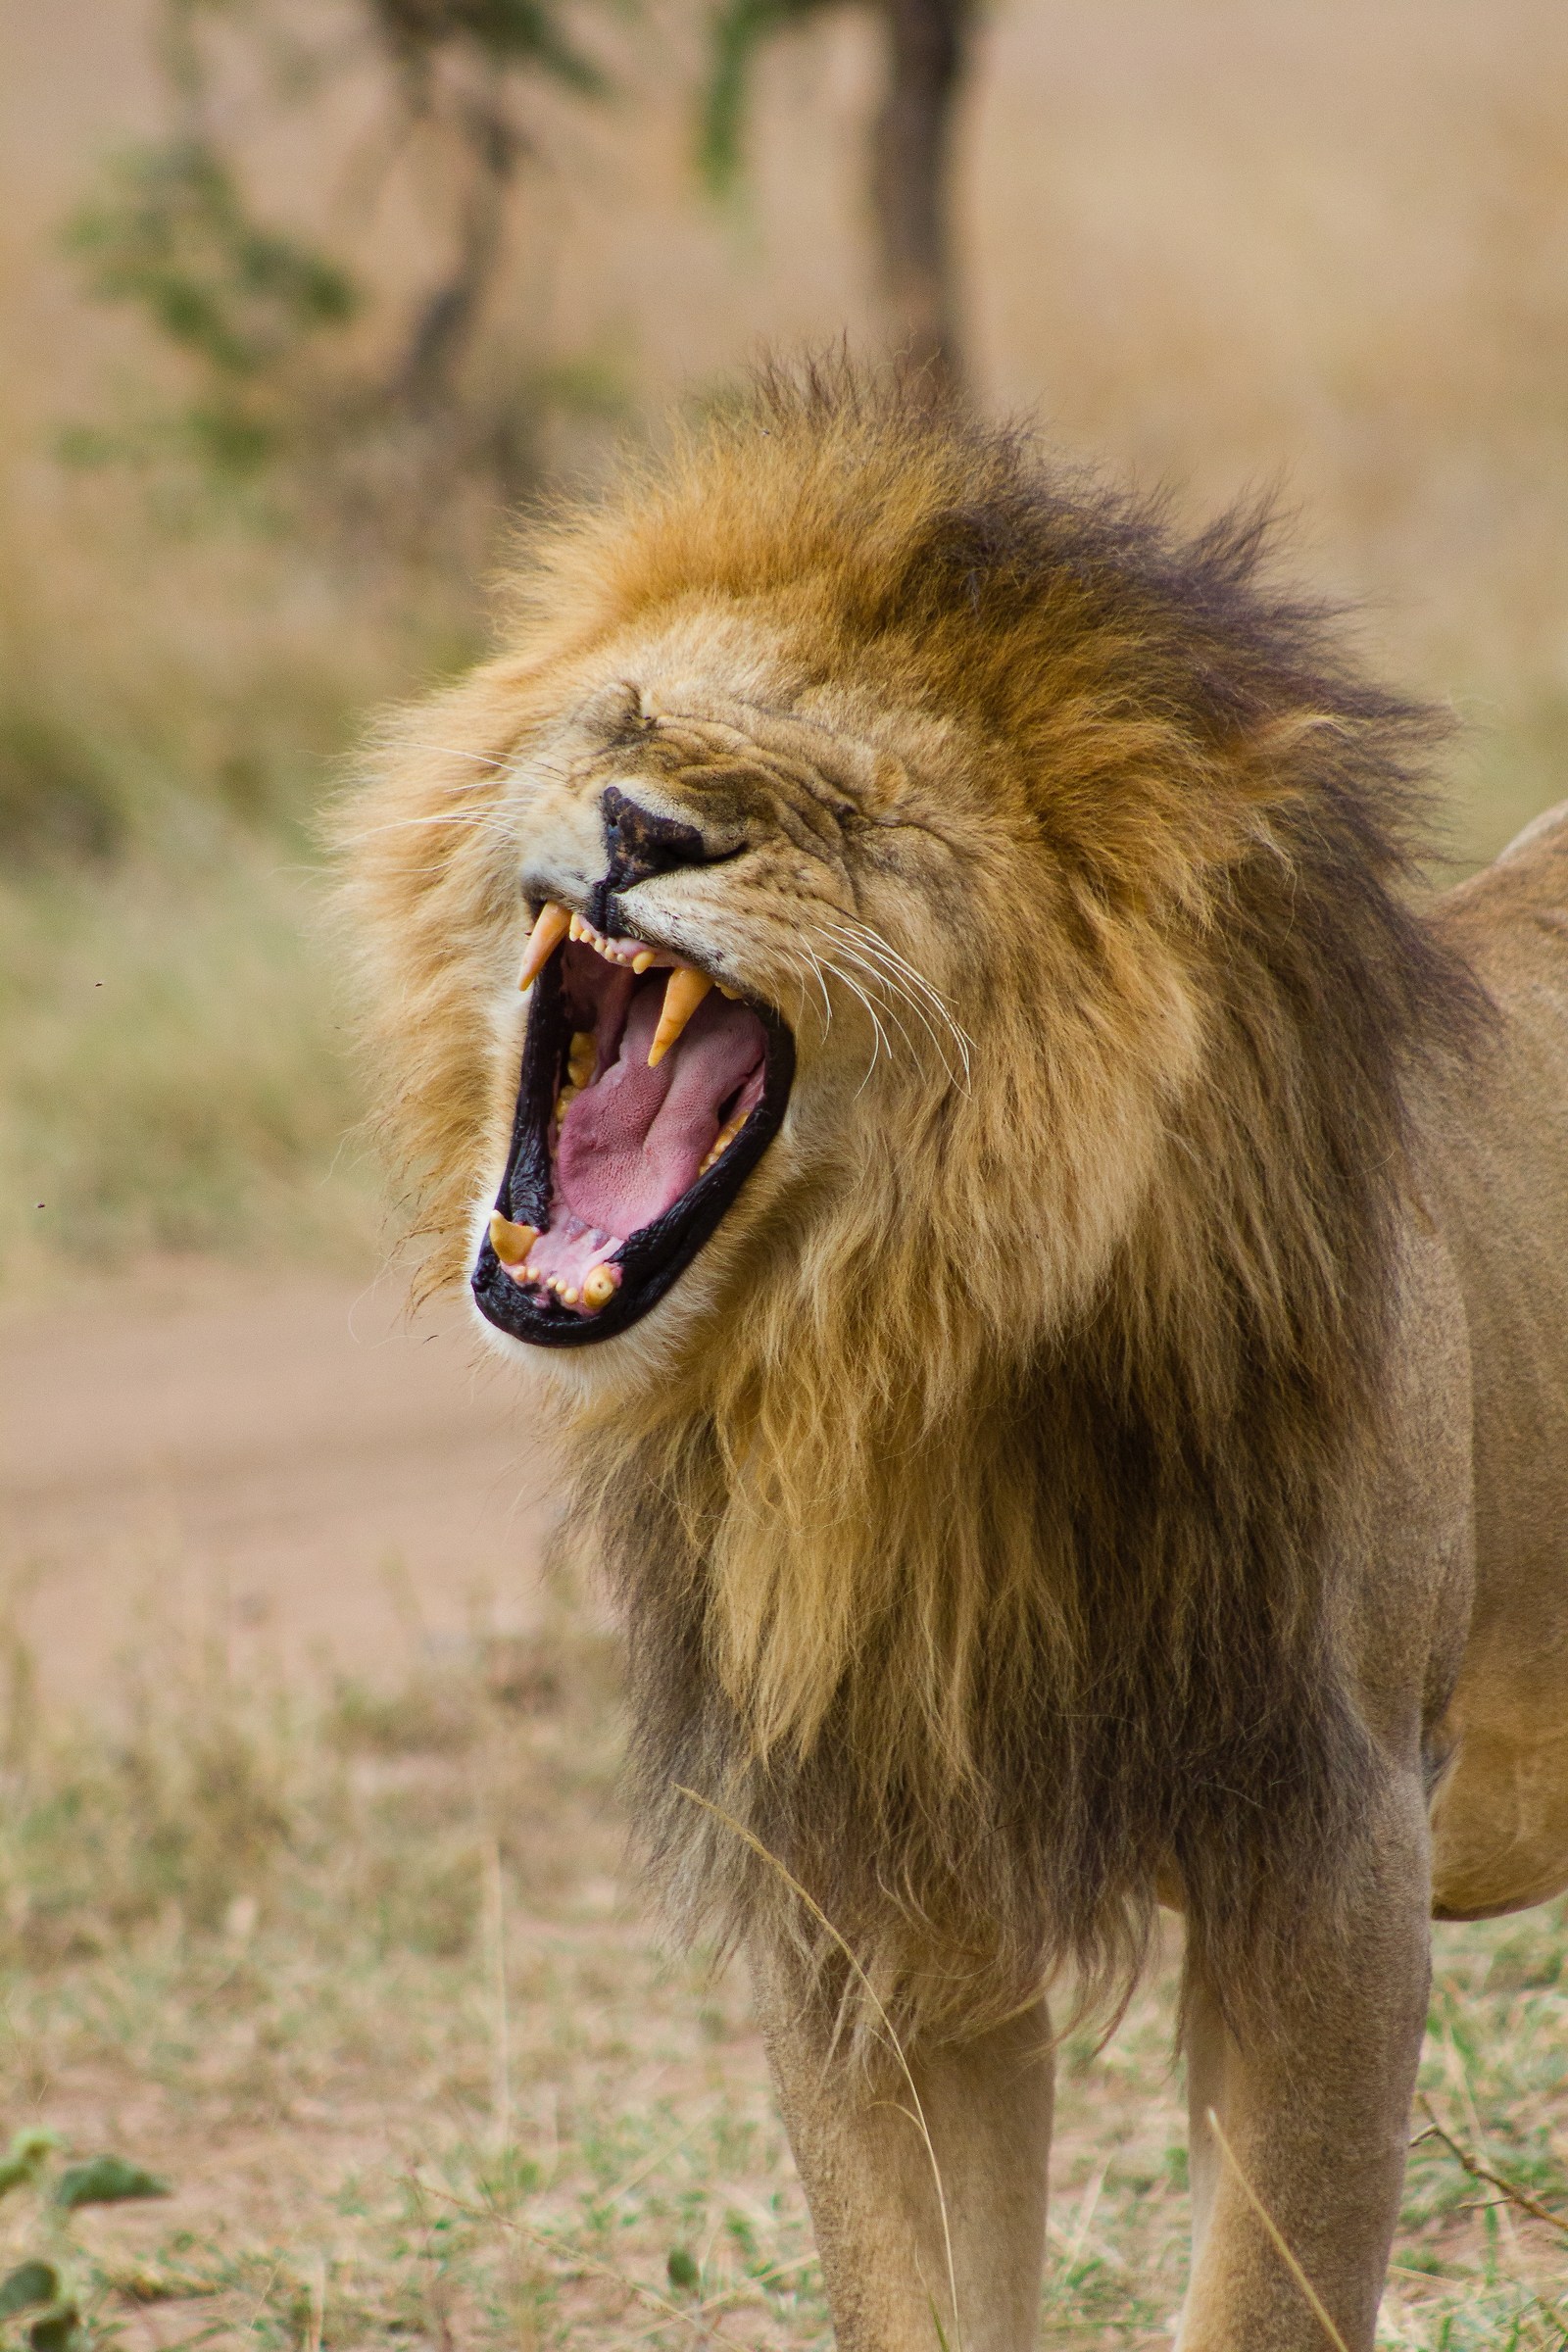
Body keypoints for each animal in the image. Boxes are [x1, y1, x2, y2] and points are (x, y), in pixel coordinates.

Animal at [337, 364, 1568, 2351]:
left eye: (853, 814)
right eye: (633, 713)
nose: (637, 828)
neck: (883, 1376)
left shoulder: (1332, 1859)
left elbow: (1272, 2295)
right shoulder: (875, 1894)